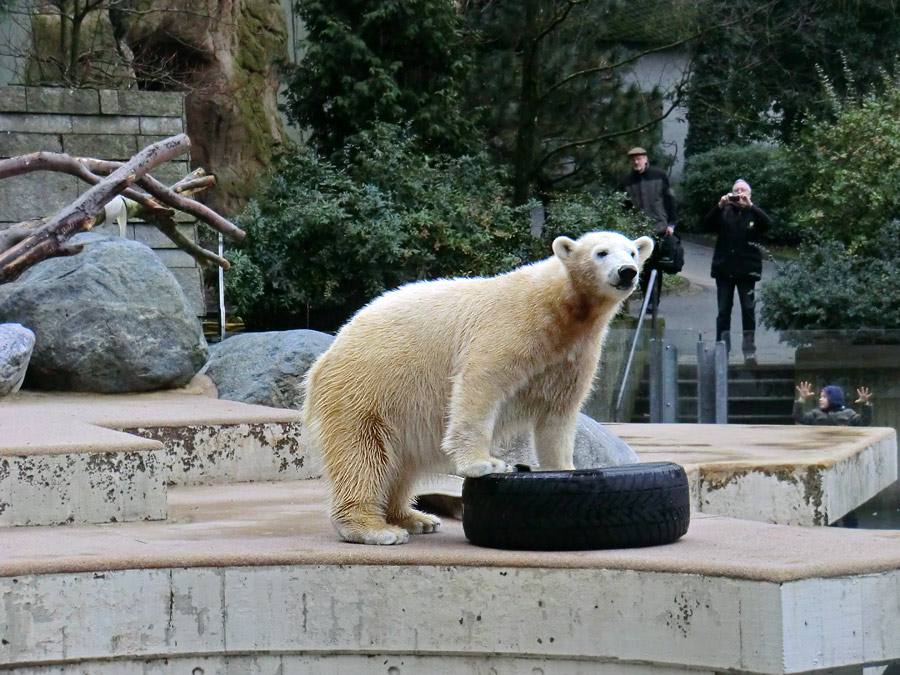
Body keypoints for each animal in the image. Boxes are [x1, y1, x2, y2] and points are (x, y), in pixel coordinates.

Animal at [304, 231, 652, 544]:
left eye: (633, 252)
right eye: (601, 252)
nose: (627, 272)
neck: (560, 307)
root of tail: (329, 353)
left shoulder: (574, 354)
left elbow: (559, 414)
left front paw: (564, 468)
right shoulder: (509, 326)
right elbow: (481, 383)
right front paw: (484, 463)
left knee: (400, 465)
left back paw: (415, 518)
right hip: (365, 389)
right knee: (362, 456)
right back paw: (375, 528)